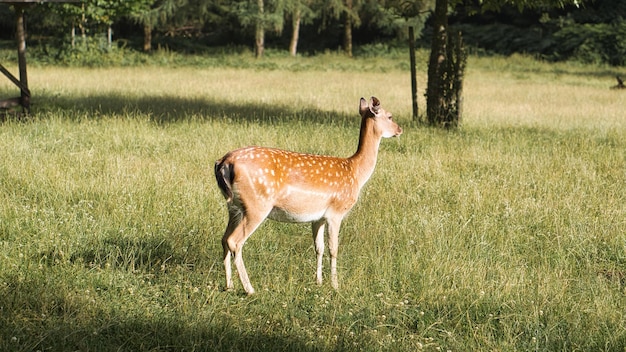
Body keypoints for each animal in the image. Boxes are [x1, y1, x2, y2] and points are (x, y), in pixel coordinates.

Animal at [213, 96, 400, 294]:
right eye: (390, 116)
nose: (399, 129)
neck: (355, 172)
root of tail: (223, 162)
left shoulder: (318, 217)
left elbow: (319, 248)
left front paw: (318, 281)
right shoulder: (336, 212)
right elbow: (334, 249)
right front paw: (335, 285)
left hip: (233, 207)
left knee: (224, 239)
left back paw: (229, 285)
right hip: (256, 205)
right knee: (235, 241)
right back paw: (249, 289)